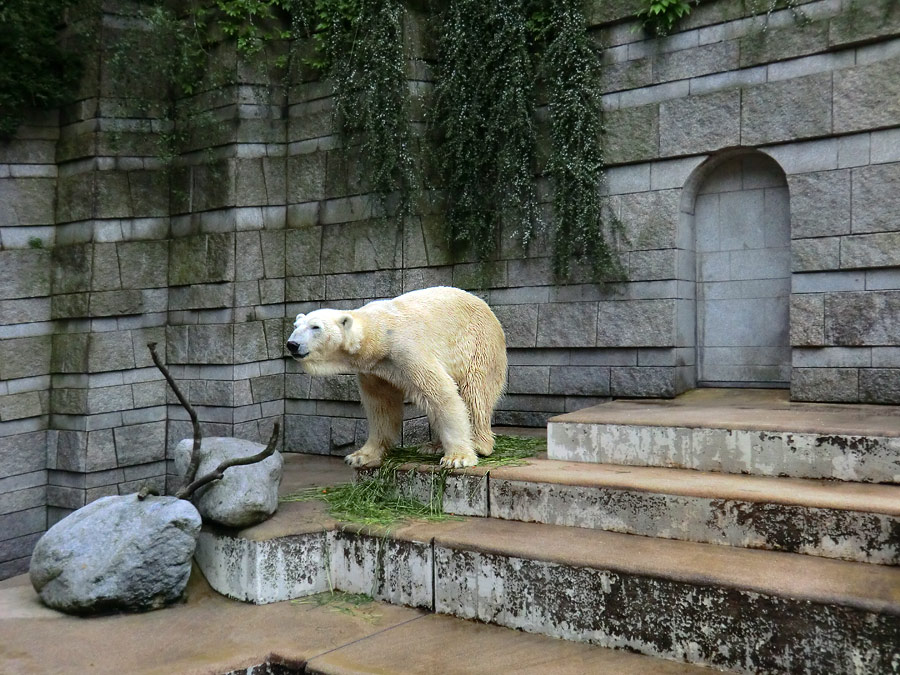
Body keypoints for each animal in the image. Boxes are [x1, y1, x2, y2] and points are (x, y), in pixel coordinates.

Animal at [288, 286, 506, 470]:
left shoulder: (406, 350)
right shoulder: (373, 371)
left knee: (475, 393)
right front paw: (360, 456)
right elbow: (381, 406)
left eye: (315, 327)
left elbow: (441, 393)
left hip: (479, 345)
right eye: (296, 325)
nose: (292, 344)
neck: (378, 334)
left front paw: (458, 458)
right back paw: (433, 445)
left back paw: (478, 444)